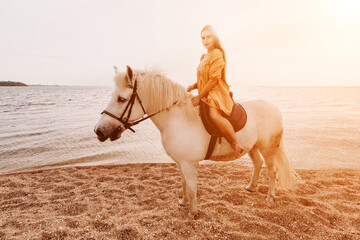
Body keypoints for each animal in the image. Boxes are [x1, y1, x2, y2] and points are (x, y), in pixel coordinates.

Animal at [94, 64, 300, 218]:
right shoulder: (180, 162)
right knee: (257, 164)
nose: (99, 131)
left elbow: (192, 187)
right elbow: (185, 184)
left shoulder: (189, 163)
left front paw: (193, 213)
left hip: (268, 148)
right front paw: (183, 202)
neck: (178, 119)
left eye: (122, 99)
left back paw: (270, 197)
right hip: (252, 147)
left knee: (272, 171)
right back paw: (251, 187)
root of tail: (274, 108)